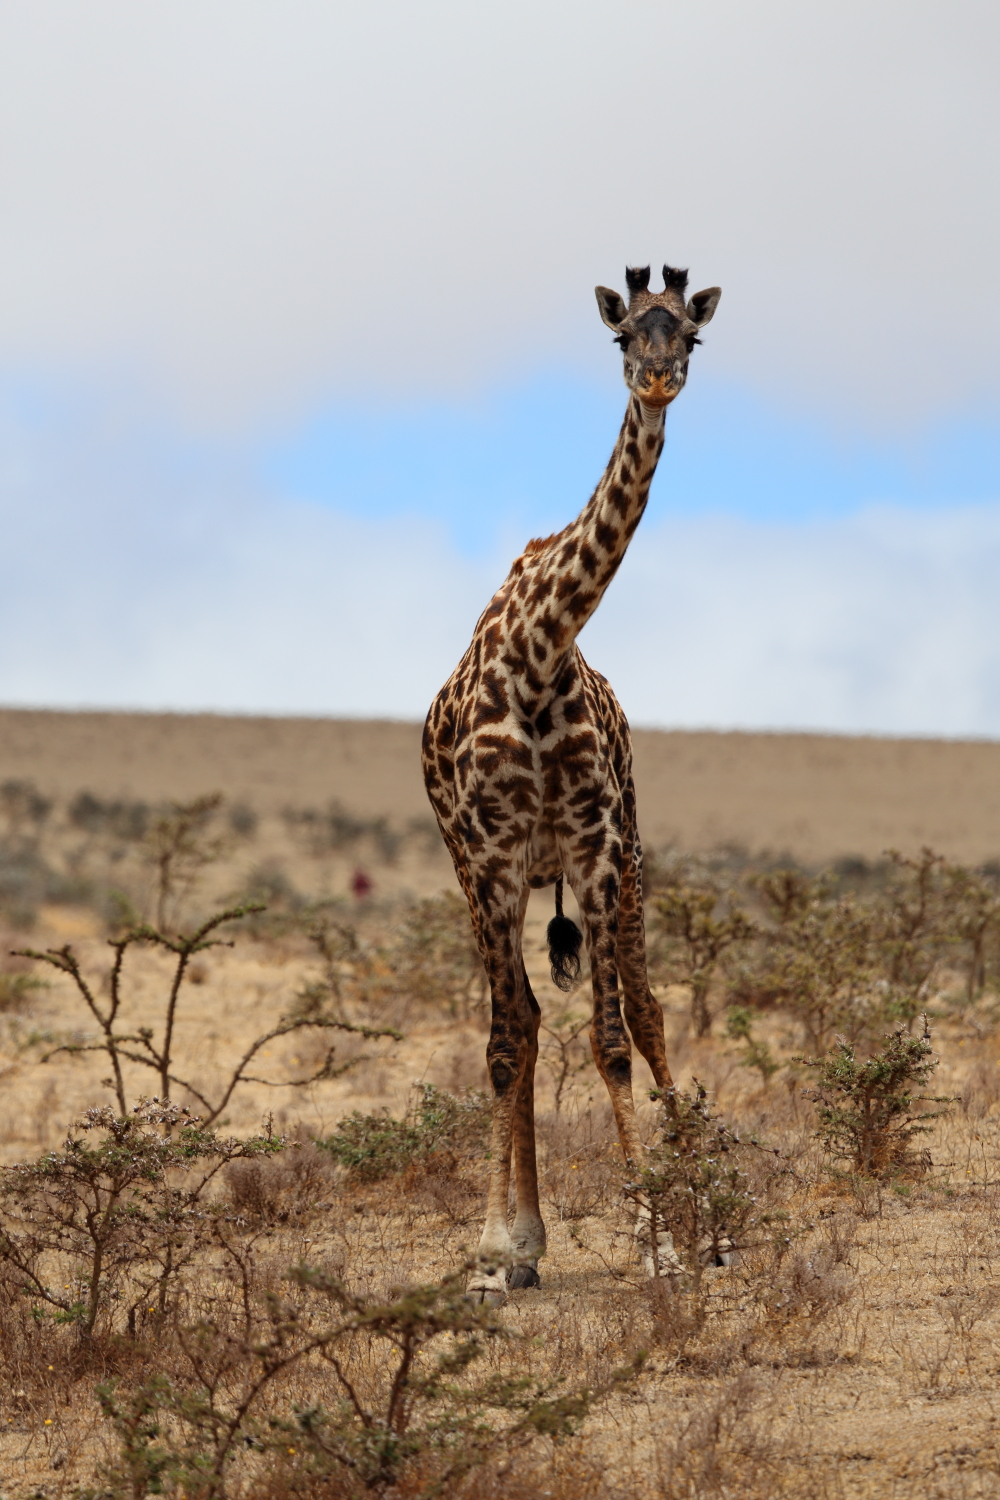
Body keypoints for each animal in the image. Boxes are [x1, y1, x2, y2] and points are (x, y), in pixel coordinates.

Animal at [421, 263, 721, 1301]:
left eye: (691, 336)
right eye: (624, 334)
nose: (659, 378)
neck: (541, 652)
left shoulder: (593, 850)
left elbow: (614, 1040)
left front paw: (662, 1243)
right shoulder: (492, 861)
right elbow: (508, 1039)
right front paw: (493, 1251)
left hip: (628, 860)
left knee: (652, 1013)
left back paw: (710, 1228)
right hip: (490, 878)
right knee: (522, 1019)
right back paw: (528, 1241)